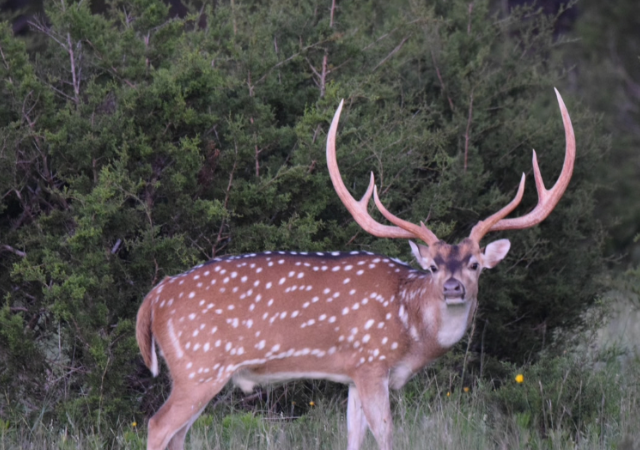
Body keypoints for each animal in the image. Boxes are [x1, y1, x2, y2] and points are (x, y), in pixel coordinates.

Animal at [135, 89, 576, 450]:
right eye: (433, 266)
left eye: (474, 264)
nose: (453, 288)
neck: (410, 326)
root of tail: (153, 298)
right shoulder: (371, 360)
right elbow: (386, 435)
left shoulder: (350, 373)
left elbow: (353, 436)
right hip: (199, 365)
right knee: (157, 426)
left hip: (196, 371)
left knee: (178, 435)